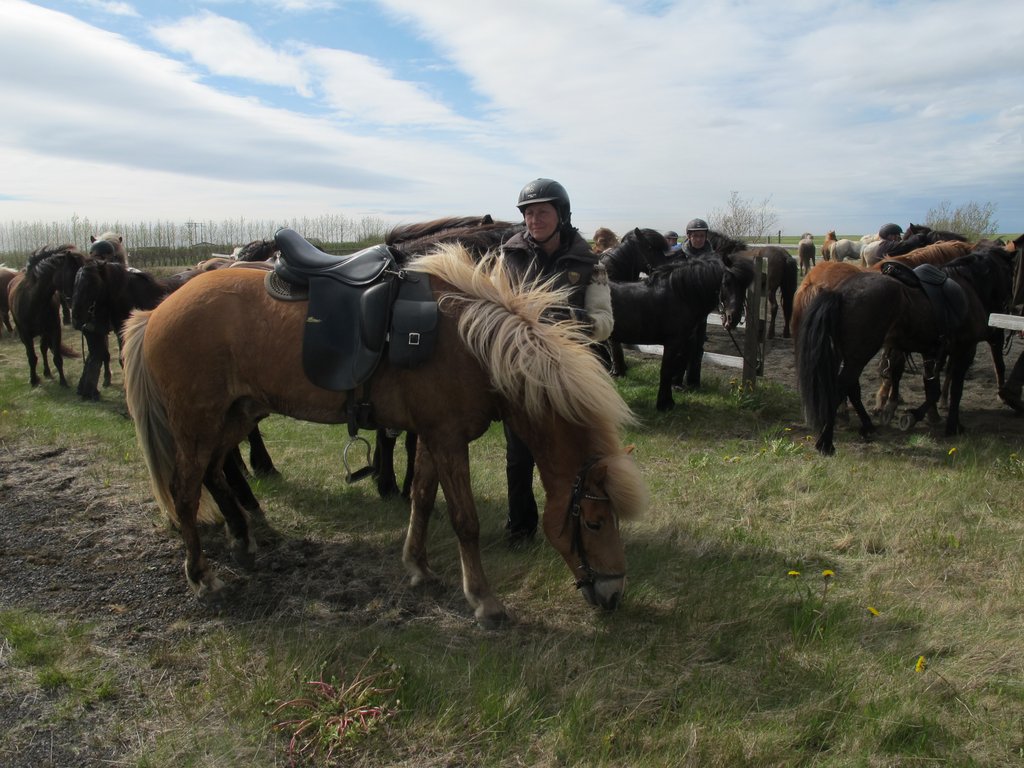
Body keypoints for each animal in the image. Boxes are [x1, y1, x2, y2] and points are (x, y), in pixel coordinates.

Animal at [9, 245, 83, 387]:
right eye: (74, 274)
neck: (34, 301)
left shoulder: (54, 330)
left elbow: (57, 358)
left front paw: (63, 382)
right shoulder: (26, 335)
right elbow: (31, 357)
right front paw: (33, 380)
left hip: (44, 332)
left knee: (43, 349)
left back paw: (47, 371)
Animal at [120, 241, 649, 627]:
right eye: (595, 522)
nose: (614, 593)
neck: (470, 345)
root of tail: (159, 309)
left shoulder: (435, 436)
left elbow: (423, 500)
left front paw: (418, 568)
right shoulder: (449, 439)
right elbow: (465, 520)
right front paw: (484, 600)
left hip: (234, 416)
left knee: (215, 473)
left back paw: (243, 539)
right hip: (198, 422)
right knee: (185, 491)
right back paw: (202, 577)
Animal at [608, 253, 754, 410]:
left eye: (745, 286)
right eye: (726, 282)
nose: (733, 318)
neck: (680, 295)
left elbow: (671, 370)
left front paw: (668, 401)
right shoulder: (673, 342)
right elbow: (666, 371)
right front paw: (664, 404)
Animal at [796, 244, 1016, 455]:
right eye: (1011, 271)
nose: (1008, 304)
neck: (967, 287)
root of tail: (839, 292)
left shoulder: (930, 352)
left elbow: (931, 389)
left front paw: (915, 415)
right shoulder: (965, 350)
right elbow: (956, 390)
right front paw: (951, 425)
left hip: (848, 354)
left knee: (850, 387)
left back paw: (866, 427)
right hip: (860, 354)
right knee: (841, 388)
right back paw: (826, 442)